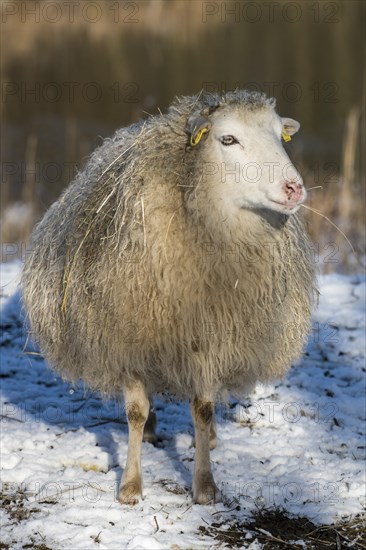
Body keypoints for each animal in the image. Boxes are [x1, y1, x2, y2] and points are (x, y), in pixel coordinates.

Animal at [21, 91, 316, 508]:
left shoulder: (214, 338)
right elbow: (135, 411)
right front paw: (130, 486)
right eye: (228, 139)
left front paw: (205, 485)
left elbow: (203, 409)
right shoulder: (125, 337)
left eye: (280, 135)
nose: (294, 188)